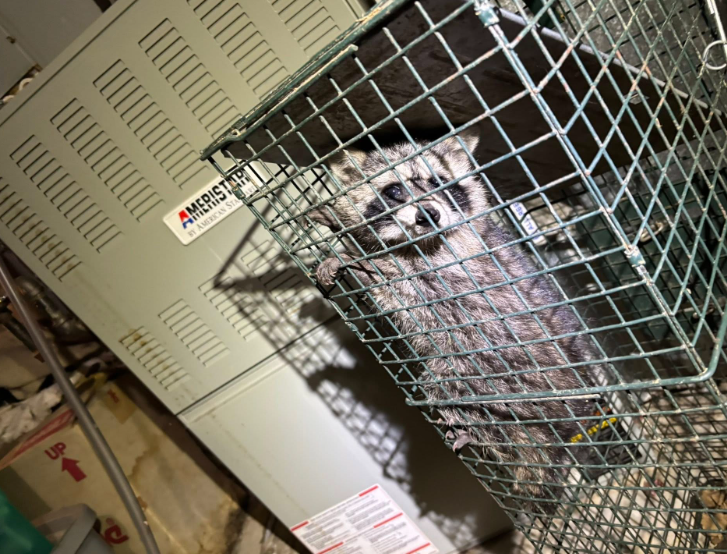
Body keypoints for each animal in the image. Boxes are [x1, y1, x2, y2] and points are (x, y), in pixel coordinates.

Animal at [310, 129, 599, 513]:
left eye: (439, 182)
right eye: (394, 190)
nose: (428, 214)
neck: (418, 241)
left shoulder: (456, 274)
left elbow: (404, 286)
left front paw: (354, 251)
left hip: (501, 372)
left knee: (455, 389)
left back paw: (477, 430)